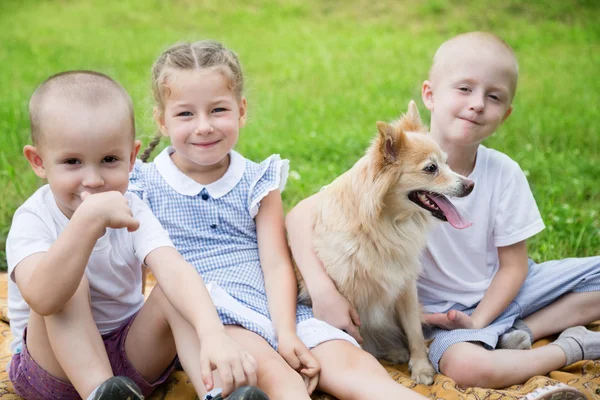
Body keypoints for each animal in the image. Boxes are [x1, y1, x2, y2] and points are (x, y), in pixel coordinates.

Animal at [296, 100, 474, 384]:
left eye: (447, 163)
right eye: (431, 168)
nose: (470, 185)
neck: (384, 227)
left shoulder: (405, 286)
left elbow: (414, 331)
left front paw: (421, 367)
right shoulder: (348, 303)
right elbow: (357, 343)